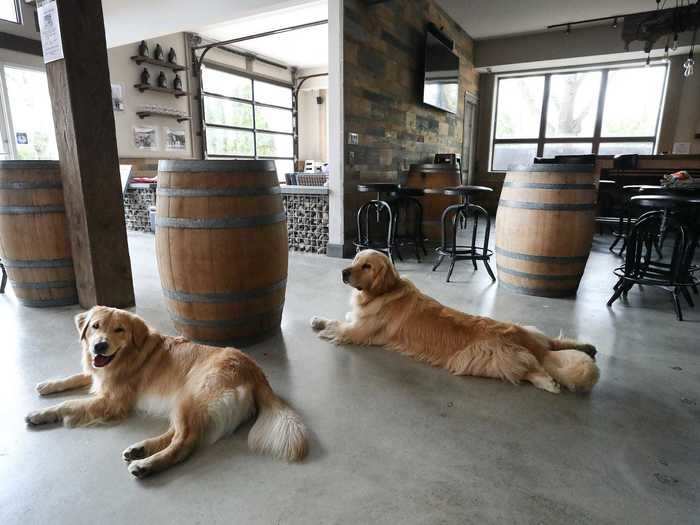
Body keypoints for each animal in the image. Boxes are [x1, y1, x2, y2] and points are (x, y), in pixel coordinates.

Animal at [27, 304, 306, 476]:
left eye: (119, 329)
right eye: (95, 326)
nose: (99, 346)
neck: (127, 354)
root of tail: (255, 370)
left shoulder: (112, 400)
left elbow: (69, 404)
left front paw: (39, 414)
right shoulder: (99, 376)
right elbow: (75, 377)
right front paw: (48, 385)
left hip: (190, 396)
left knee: (184, 442)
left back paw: (146, 465)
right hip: (185, 401)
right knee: (178, 433)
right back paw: (140, 449)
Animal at [314, 250, 600, 392]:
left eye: (367, 266)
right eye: (355, 260)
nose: (343, 272)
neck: (383, 292)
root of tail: (522, 339)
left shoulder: (358, 331)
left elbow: (337, 325)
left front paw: (319, 323)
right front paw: (318, 319)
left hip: (480, 359)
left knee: (529, 370)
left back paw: (548, 383)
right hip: (529, 330)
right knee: (553, 343)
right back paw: (587, 347)